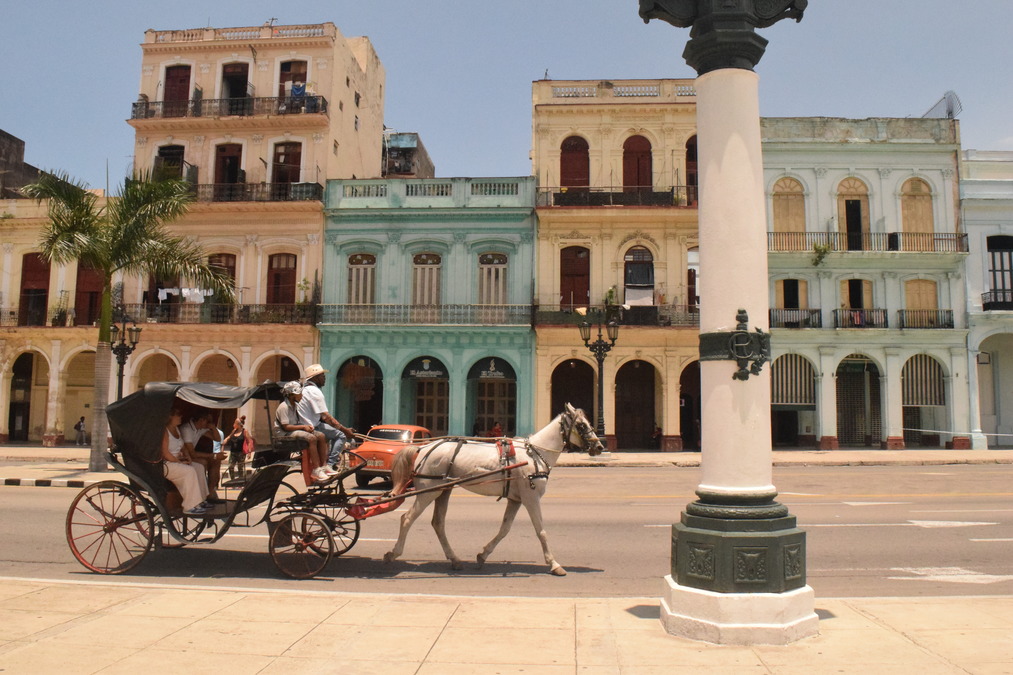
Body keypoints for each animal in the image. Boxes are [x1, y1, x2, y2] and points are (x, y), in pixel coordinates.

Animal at [380, 401, 599, 575]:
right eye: (581, 425)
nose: (598, 446)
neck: (535, 454)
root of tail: (423, 447)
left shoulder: (516, 499)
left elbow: (504, 529)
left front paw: (483, 554)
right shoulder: (531, 498)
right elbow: (541, 531)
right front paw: (554, 564)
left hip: (443, 490)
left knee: (438, 523)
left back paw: (455, 560)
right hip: (429, 491)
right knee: (407, 518)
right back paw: (393, 553)